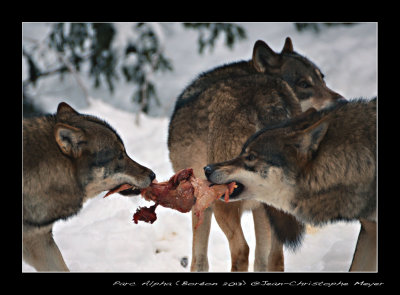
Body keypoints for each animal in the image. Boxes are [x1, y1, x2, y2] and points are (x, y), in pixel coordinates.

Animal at [168, 37, 344, 272]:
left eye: (321, 79)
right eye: (305, 84)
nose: (342, 101)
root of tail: (270, 97)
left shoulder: (202, 204)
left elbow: (199, 260)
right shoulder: (262, 209)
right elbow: (262, 259)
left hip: (223, 202)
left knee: (242, 251)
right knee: (276, 257)